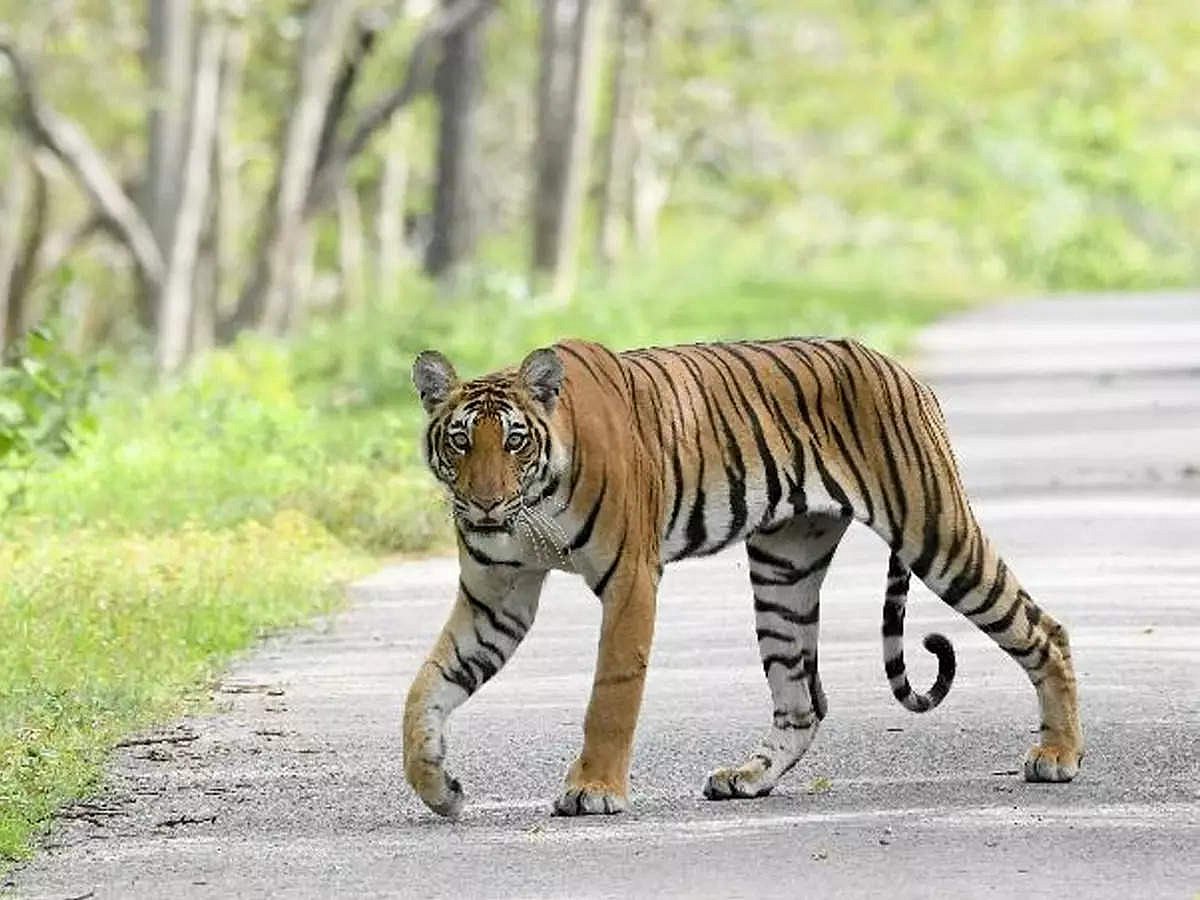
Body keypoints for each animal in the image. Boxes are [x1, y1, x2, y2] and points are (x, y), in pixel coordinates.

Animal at [403, 338, 1083, 817]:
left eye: (514, 441)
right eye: (460, 442)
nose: (485, 503)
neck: (532, 505)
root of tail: (899, 368)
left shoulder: (630, 580)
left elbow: (611, 694)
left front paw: (594, 788)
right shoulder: (497, 596)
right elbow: (428, 687)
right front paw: (438, 786)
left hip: (936, 533)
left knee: (1042, 629)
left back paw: (1058, 755)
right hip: (783, 571)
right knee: (802, 702)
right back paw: (748, 777)